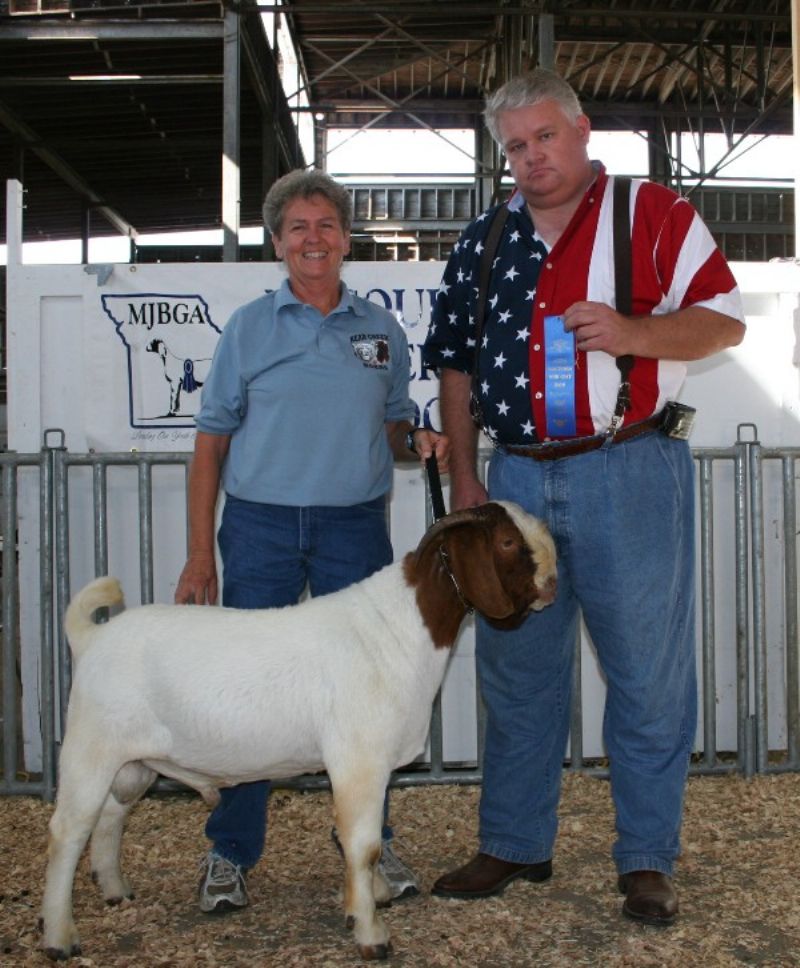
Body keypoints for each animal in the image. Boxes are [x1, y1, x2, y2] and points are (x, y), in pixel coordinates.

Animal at [39, 502, 556, 956]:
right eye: (507, 541)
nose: (553, 580)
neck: (400, 628)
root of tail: (90, 637)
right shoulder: (359, 761)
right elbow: (363, 845)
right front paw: (371, 932)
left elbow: (361, 844)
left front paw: (367, 899)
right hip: (90, 747)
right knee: (68, 831)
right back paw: (59, 937)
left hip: (133, 762)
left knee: (110, 815)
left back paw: (115, 890)